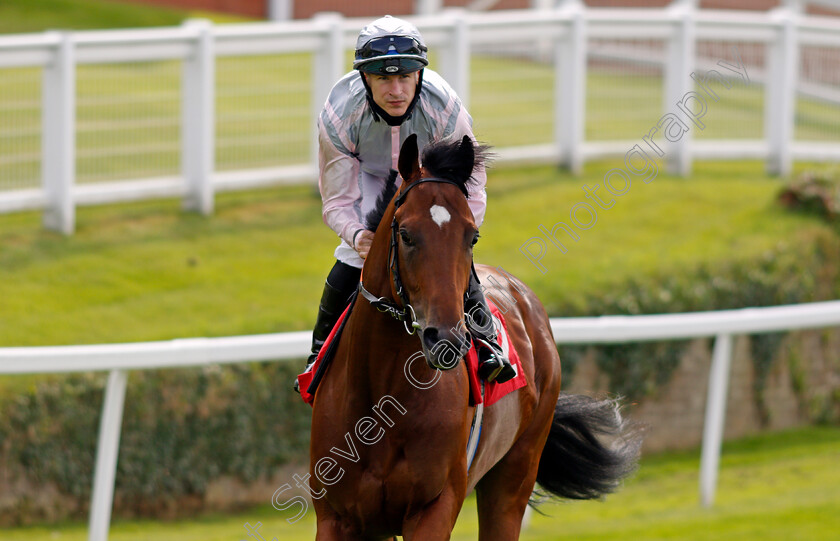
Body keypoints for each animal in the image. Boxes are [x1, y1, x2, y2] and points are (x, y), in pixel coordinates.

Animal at [308, 133, 644, 536]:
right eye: (405, 234)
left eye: (472, 237)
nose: (446, 340)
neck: (381, 400)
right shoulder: (337, 517)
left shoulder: (434, 507)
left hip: (515, 473)